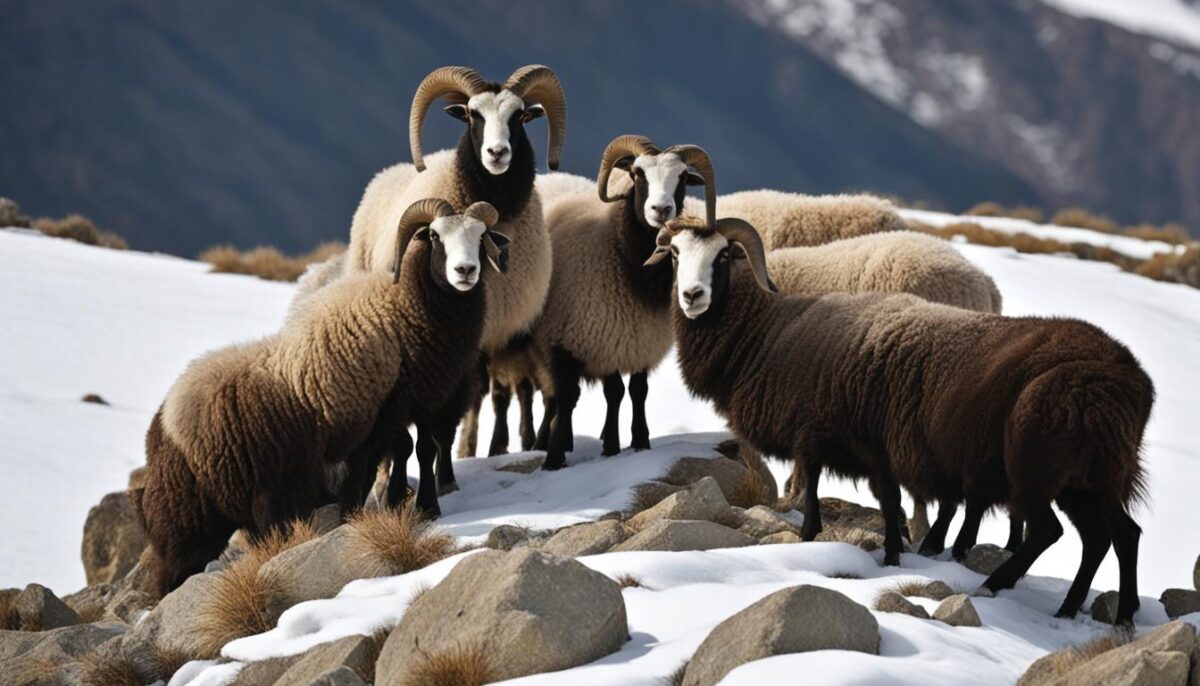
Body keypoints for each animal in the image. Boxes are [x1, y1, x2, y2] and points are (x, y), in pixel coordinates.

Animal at [133, 199, 507, 595]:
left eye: (481, 237)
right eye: (435, 236)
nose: (465, 271)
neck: (403, 303)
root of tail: (161, 426)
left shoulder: (415, 403)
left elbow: (417, 451)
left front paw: (410, 506)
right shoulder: (392, 409)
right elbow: (392, 458)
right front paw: (390, 509)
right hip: (197, 517)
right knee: (172, 573)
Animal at [346, 65, 564, 485]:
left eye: (519, 116)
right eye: (472, 115)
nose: (497, 153)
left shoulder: (497, 327)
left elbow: (489, 397)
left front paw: (471, 456)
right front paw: (452, 462)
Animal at [529, 134, 716, 469]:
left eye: (682, 177)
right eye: (637, 174)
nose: (661, 209)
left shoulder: (634, 338)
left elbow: (635, 391)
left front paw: (636, 442)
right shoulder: (580, 336)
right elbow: (586, 395)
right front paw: (558, 456)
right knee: (555, 396)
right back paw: (548, 441)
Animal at [653, 215, 1154, 626]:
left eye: (723, 255)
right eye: (674, 253)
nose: (692, 296)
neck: (770, 332)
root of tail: (1126, 382)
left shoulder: (815, 432)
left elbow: (817, 494)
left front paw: (814, 537)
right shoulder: (875, 449)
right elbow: (890, 504)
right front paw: (896, 555)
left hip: (1036, 467)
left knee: (1051, 531)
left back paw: (996, 585)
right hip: (1093, 479)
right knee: (1116, 535)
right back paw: (1101, 611)